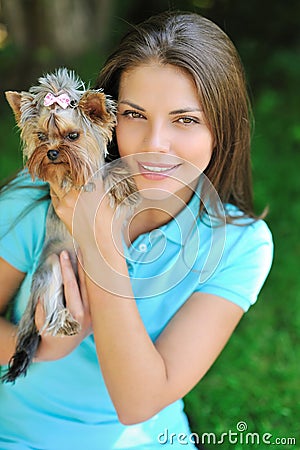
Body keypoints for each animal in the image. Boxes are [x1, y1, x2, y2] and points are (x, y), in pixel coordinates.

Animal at [2, 67, 138, 384]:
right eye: (41, 136)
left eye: (73, 135)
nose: (52, 152)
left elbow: (111, 169)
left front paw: (123, 183)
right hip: (51, 267)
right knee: (49, 305)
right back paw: (64, 322)